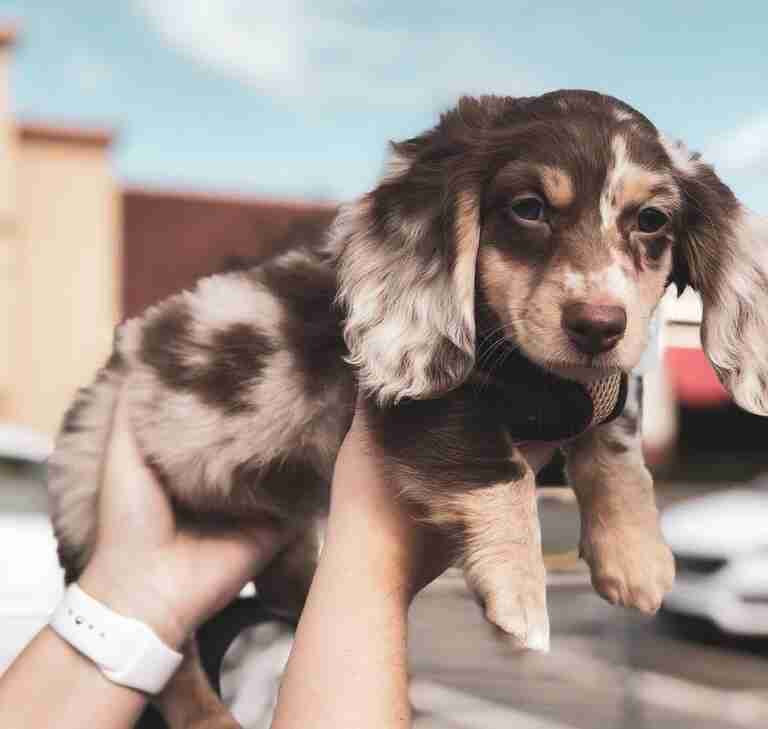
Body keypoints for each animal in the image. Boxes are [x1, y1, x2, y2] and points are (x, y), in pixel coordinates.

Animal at [49, 91, 768, 728]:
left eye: (651, 220)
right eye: (529, 208)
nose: (598, 325)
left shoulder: (594, 388)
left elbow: (614, 436)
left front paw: (635, 554)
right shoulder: (412, 390)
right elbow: (497, 469)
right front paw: (520, 592)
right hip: (92, 516)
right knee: (172, 665)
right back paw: (209, 717)